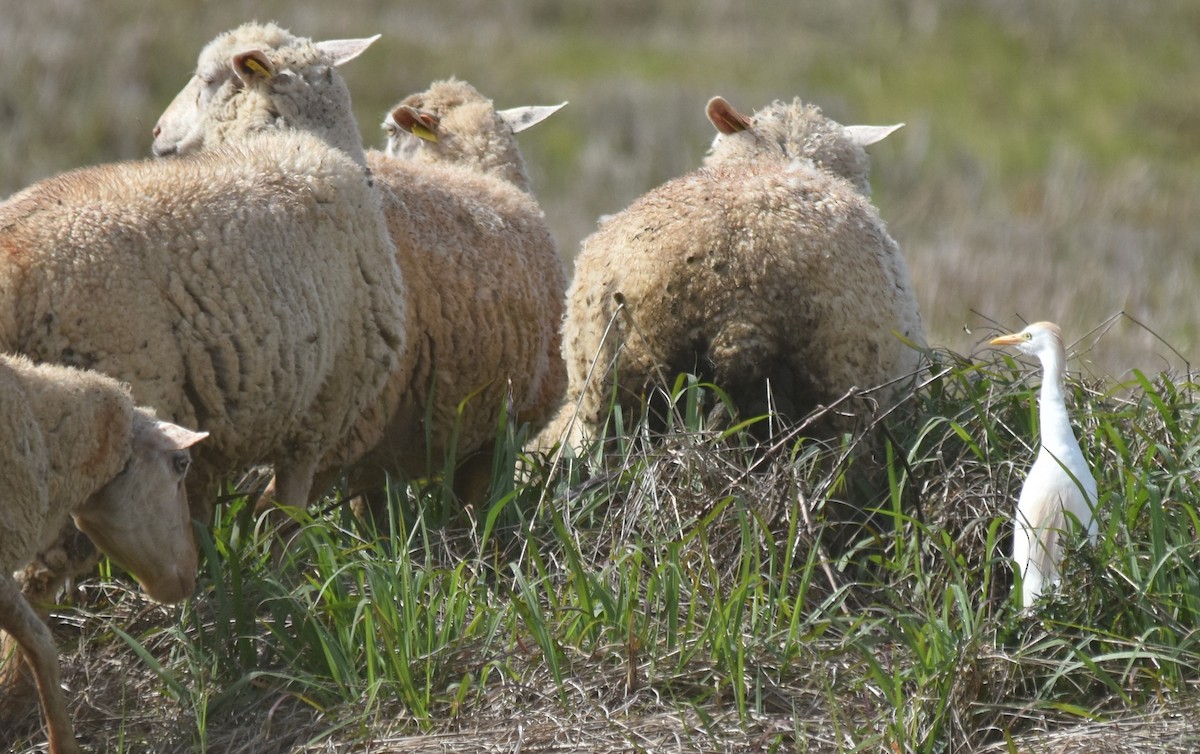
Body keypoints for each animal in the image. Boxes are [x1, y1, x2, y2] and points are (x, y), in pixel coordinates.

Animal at [2, 22, 408, 595]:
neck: (292, 140)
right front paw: (275, 583)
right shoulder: (317, 414)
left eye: (209, 79)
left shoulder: (222, 425)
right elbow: (285, 516)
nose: (154, 131)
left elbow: (206, 514)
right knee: (43, 566)